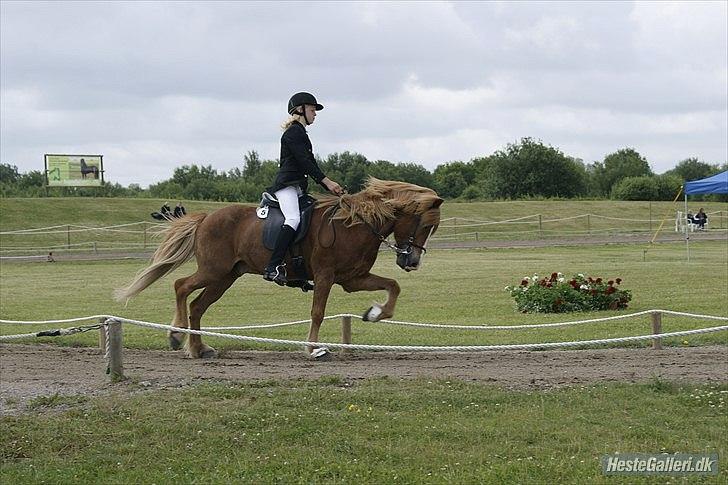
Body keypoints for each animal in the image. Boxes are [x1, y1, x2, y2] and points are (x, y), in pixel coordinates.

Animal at [114, 176, 444, 358]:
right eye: (423, 225)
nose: (412, 261)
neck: (355, 224)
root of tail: (207, 217)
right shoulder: (325, 276)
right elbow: (318, 312)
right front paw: (314, 349)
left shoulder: (353, 278)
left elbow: (393, 286)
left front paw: (375, 313)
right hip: (214, 271)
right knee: (181, 286)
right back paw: (176, 334)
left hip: (226, 277)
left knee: (197, 306)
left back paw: (198, 348)